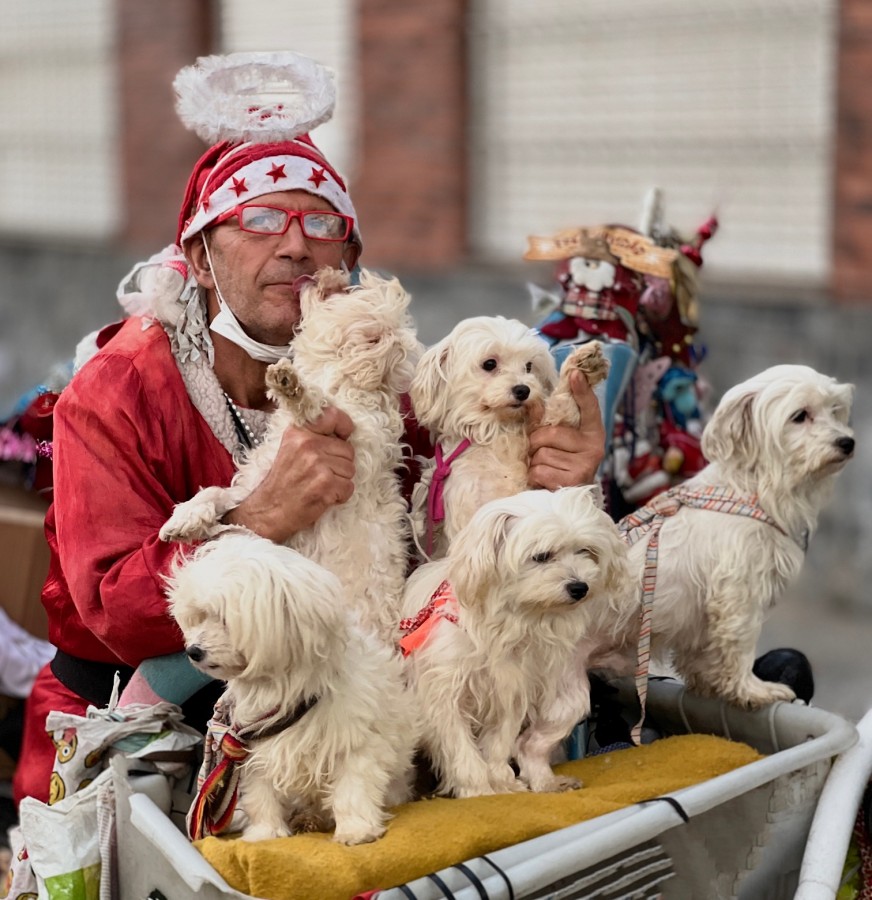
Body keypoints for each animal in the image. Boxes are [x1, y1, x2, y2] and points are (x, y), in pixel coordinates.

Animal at [164, 266, 426, 640]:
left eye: (349, 289)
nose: (331, 270)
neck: (337, 376)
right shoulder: (257, 478)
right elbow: (216, 494)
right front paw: (184, 520)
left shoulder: (354, 433)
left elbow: (315, 404)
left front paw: (291, 384)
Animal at [169, 528, 418, 844]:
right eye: (199, 616)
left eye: (223, 618)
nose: (193, 650)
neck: (283, 686)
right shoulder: (254, 745)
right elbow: (261, 794)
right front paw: (265, 832)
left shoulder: (355, 740)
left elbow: (353, 787)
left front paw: (356, 830)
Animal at [400, 488, 632, 800]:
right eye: (542, 556)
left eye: (585, 551)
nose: (579, 587)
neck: (507, 623)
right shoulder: (443, 694)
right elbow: (459, 746)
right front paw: (477, 789)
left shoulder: (509, 690)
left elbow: (499, 743)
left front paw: (502, 783)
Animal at [408, 314, 608, 556]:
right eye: (490, 364)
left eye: (529, 366)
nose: (523, 390)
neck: (497, 432)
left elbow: (559, 410)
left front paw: (582, 366)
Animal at [616, 362, 856, 708]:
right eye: (800, 415)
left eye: (834, 410)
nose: (847, 442)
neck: (752, 489)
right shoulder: (739, 588)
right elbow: (739, 640)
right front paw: (752, 690)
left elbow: (704, 653)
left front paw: (711, 685)